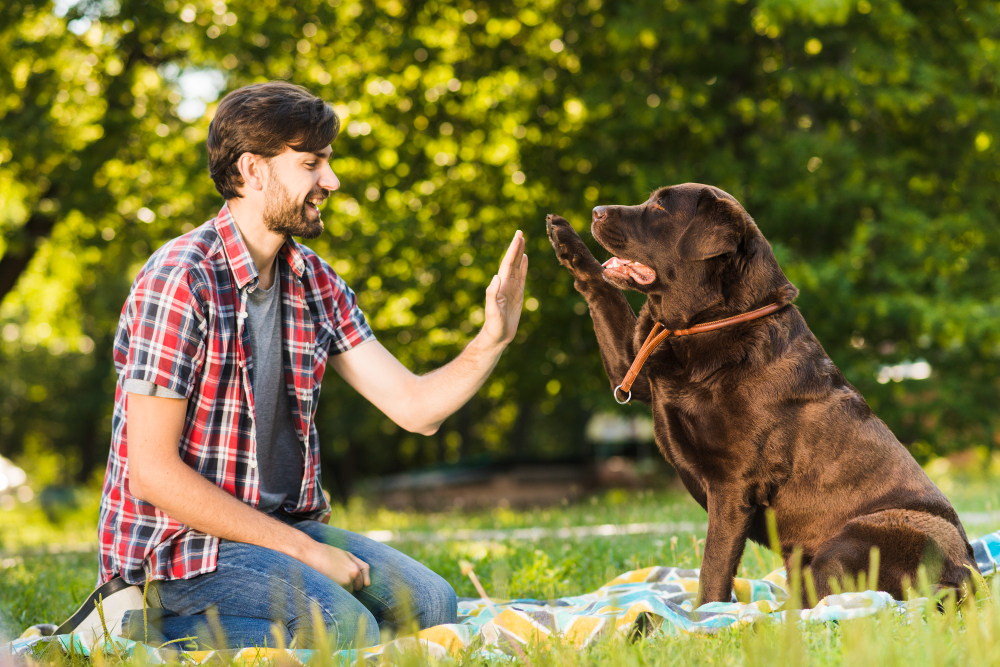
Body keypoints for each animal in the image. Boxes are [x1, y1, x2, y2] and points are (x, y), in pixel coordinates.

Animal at [548, 185, 976, 608]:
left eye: (660, 207)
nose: (596, 211)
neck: (711, 323)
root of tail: (968, 580)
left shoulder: (733, 484)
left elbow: (713, 569)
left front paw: (704, 617)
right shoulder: (633, 371)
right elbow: (605, 294)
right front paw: (566, 239)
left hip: (851, 541)